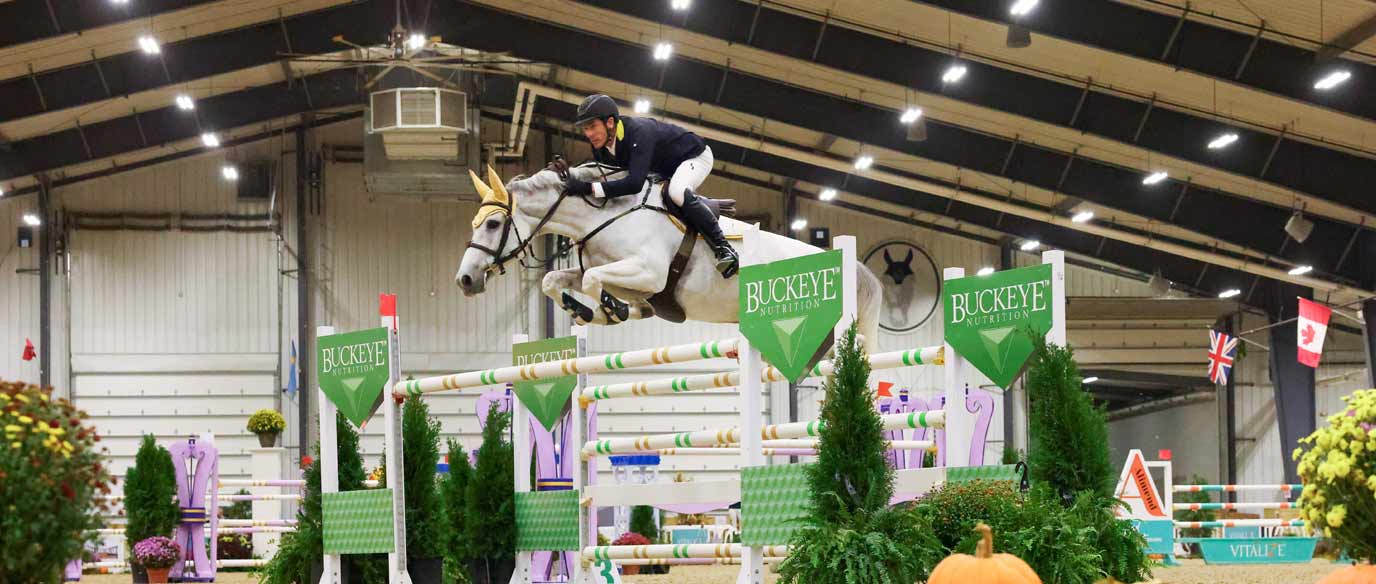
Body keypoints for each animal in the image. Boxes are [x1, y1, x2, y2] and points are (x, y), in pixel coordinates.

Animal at [451, 163, 880, 347]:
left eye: (493, 224)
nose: (465, 280)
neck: (605, 214)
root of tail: (852, 266)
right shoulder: (614, 270)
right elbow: (554, 279)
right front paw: (590, 312)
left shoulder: (648, 273)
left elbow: (592, 281)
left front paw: (612, 309)